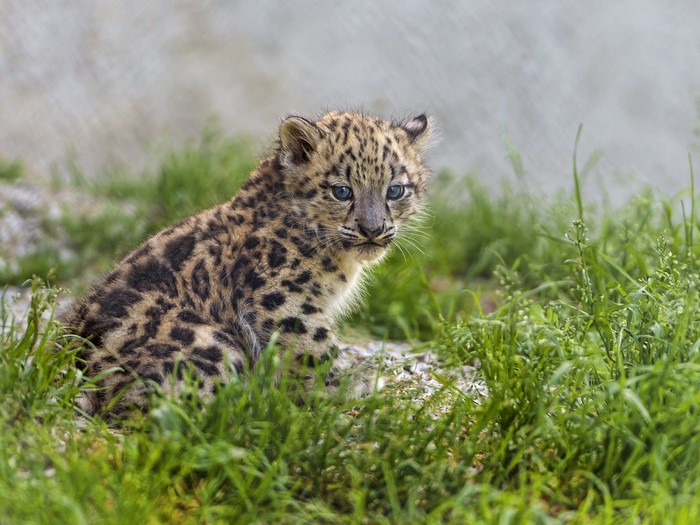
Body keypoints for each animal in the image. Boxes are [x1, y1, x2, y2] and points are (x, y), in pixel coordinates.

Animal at [66, 110, 433, 417]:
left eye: (395, 190)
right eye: (342, 191)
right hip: (213, 343)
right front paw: (353, 382)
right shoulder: (281, 300)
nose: (373, 229)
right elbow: (315, 348)